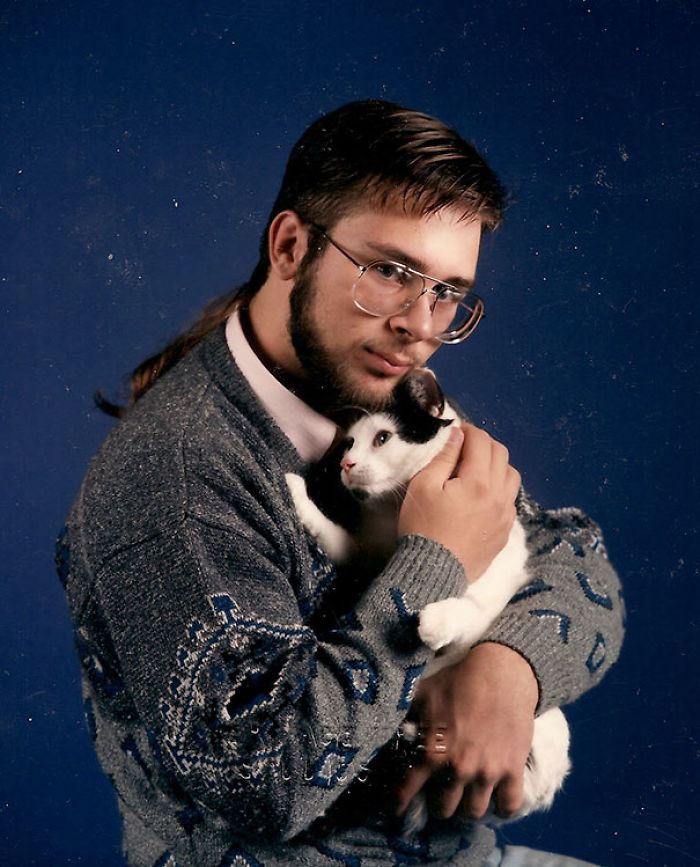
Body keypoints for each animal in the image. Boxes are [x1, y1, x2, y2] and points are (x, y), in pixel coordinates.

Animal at [284, 370, 568, 832]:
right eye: (351, 442)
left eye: (383, 438)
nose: (346, 464)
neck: (395, 511)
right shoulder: (363, 557)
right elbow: (330, 531)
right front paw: (295, 490)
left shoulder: (482, 608)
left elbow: (467, 613)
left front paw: (433, 624)